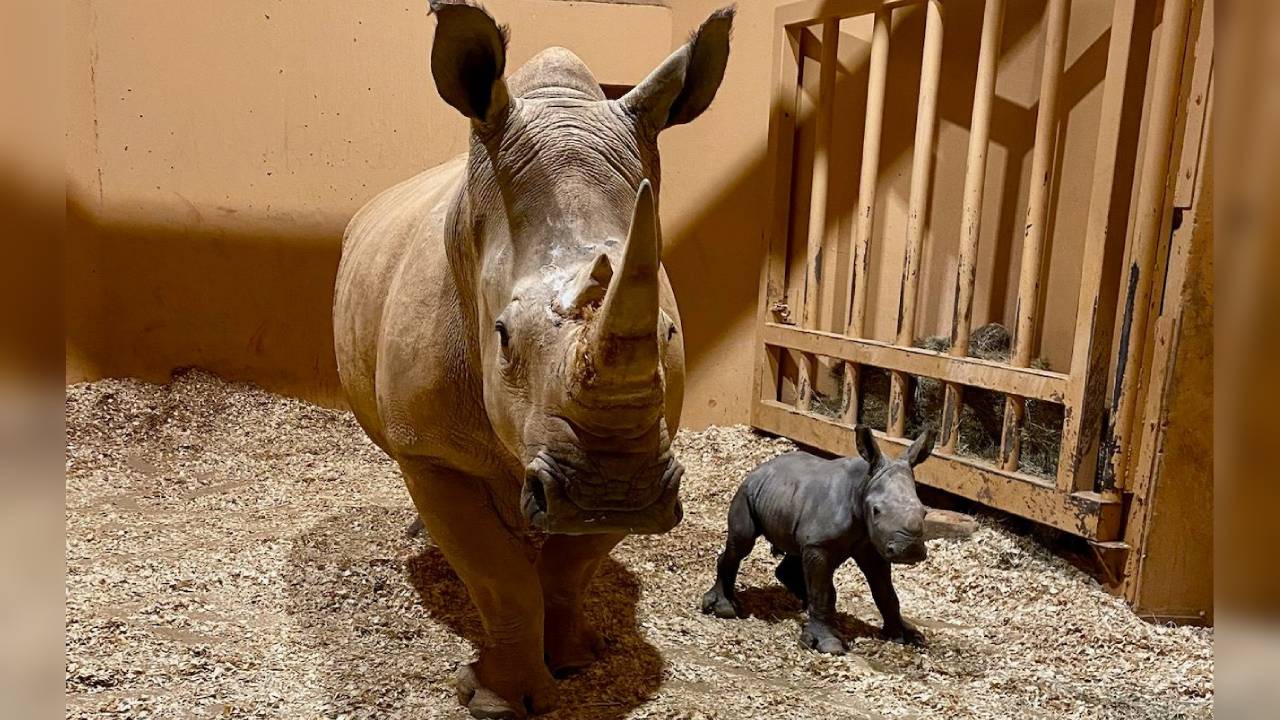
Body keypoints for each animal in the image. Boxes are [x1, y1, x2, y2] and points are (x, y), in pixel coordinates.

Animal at [333, 2, 734, 717]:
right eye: (500, 336)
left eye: (667, 333)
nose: (617, 493)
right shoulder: (431, 450)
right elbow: (499, 576)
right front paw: (499, 699)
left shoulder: (632, 448)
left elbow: (571, 566)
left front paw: (576, 660)